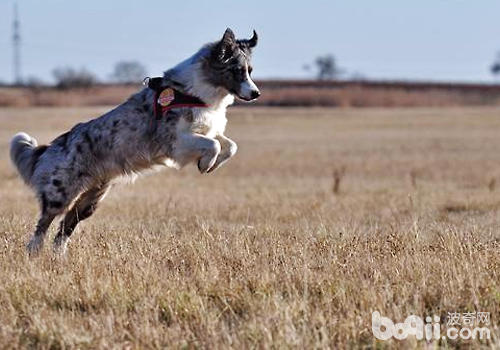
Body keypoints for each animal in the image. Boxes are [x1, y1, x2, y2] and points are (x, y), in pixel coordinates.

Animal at [9, 28, 260, 253]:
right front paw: (206, 163)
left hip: (90, 200)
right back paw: (35, 254)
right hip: (60, 194)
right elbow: (214, 145)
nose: (256, 93)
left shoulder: (206, 129)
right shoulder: (175, 141)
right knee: (43, 227)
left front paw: (212, 163)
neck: (198, 90)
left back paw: (59, 258)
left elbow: (230, 145)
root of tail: (51, 146)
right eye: (237, 71)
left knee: (65, 227)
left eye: (250, 70)